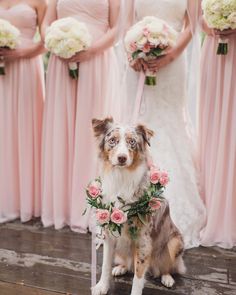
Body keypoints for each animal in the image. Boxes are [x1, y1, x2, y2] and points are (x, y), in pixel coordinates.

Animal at [91, 118, 185, 295]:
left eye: (132, 142)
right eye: (112, 140)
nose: (121, 158)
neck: (121, 177)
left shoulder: (143, 241)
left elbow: (139, 275)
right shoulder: (110, 233)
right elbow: (106, 265)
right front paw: (102, 286)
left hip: (174, 242)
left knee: (168, 266)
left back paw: (167, 277)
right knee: (128, 264)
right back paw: (121, 267)